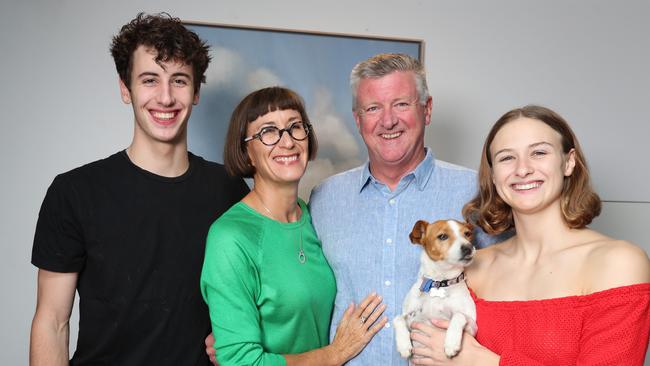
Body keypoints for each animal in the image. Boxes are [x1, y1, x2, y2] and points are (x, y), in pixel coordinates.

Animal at [390, 219, 476, 358]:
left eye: (467, 234)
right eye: (443, 236)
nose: (468, 247)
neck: (438, 282)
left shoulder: (473, 327)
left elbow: (459, 315)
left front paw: (451, 343)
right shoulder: (411, 318)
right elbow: (397, 318)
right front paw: (403, 345)